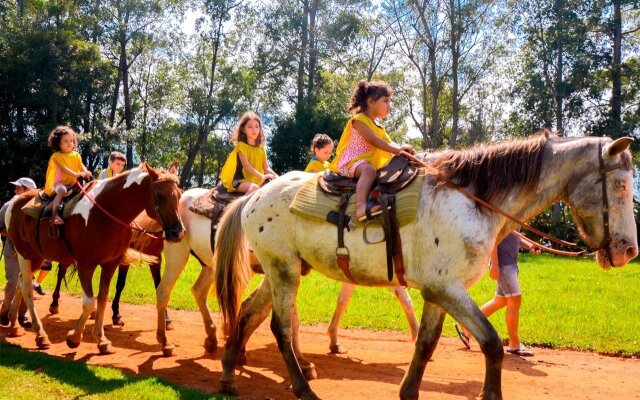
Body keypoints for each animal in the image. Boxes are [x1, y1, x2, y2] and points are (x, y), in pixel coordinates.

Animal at [5, 164, 184, 354]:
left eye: (179, 194)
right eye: (160, 196)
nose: (178, 232)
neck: (105, 211)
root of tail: (15, 202)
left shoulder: (111, 264)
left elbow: (103, 299)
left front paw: (101, 339)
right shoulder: (85, 265)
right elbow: (90, 302)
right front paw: (74, 337)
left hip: (36, 256)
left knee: (21, 282)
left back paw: (14, 325)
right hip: (25, 253)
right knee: (27, 288)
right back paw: (41, 335)